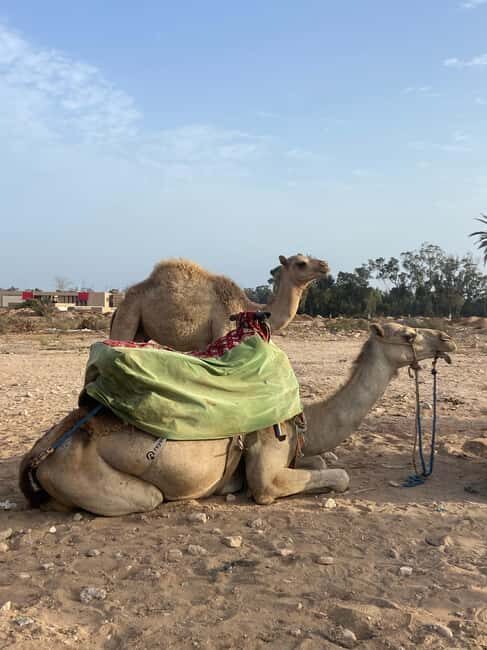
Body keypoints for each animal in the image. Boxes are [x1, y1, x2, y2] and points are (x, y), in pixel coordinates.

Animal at [19, 322, 456, 516]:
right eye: (409, 334)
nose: (447, 339)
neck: (303, 417)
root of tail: (40, 454)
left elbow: (322, 460)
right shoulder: (268, 460)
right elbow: (337, 476)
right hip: (96, 479)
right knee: (148, 497)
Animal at [110, 254, 329, 350]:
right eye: (301, 263)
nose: (325, 265)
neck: (246, 307)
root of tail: (118, 306)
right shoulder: (223, 328)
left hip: (140, 330)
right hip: (129, 315)